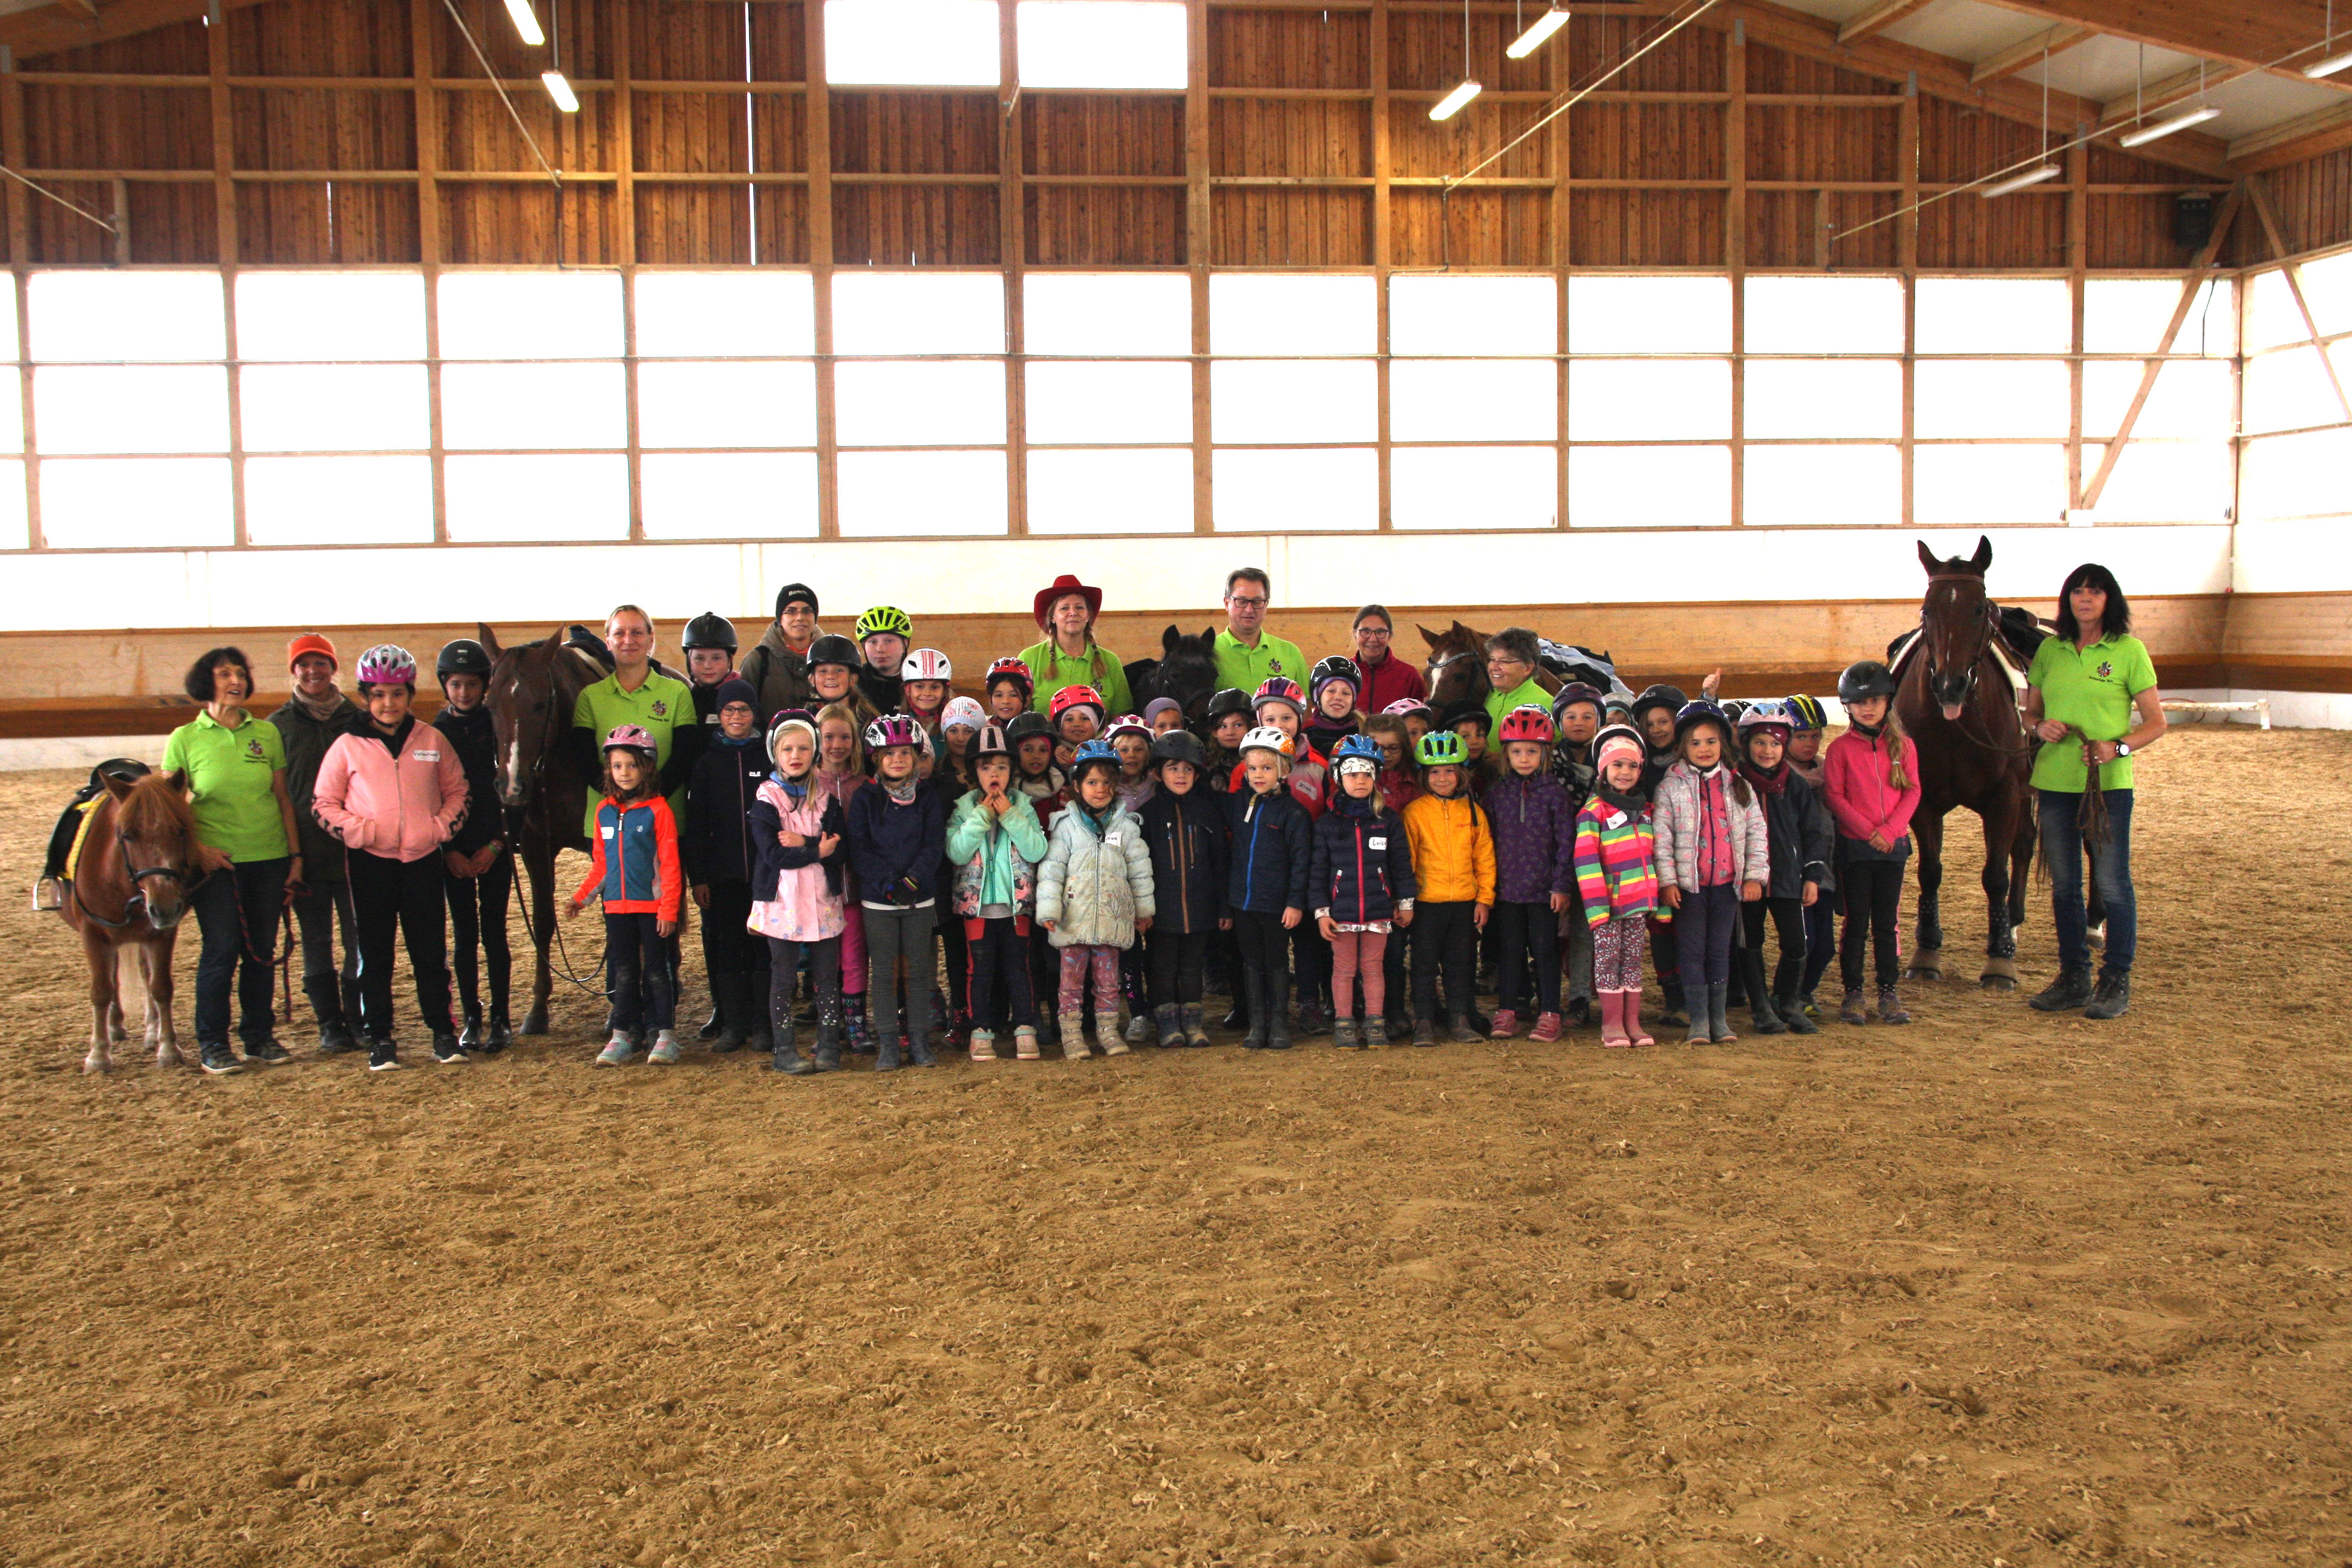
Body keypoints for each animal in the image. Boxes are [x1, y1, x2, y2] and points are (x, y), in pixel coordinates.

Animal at [58, 771, 200, 1072]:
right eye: (127, 836)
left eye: (181, 830)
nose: (164, 907)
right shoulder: (93, 934)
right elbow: (101, 991)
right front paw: (98, 1055)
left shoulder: (161, 935)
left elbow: (161, 988)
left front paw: (168, 1048)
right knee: (111, 979)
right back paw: (114, 1028)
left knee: (145, 976)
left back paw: (151, 1030)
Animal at [477, 625, 602, 1044]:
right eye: (489, 704)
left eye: (540, 704)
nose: (512, 786)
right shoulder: (535, 846)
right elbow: (544, 920)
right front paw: (537, 1010)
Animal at [1890, 534, 2041, 987]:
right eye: (1927, 609)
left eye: (1978, 608)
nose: (1949, 685)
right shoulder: (1923, 802)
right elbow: (1930, 871)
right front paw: (1926, 954)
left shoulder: (2006, 797)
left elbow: (1995, 874)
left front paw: (1999, 960)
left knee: (2026, 846)